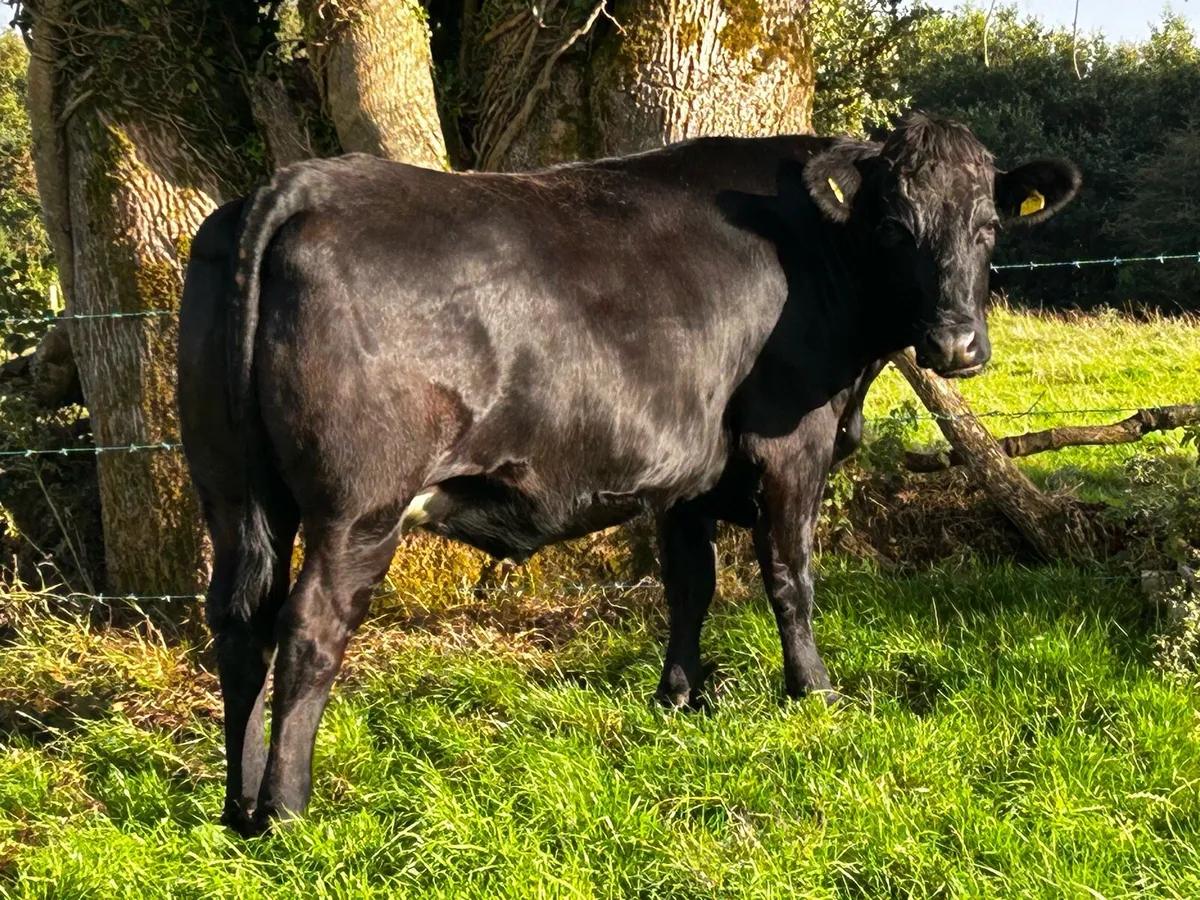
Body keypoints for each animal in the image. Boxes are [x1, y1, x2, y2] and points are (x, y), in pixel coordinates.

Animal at [178, 111, 1080, 835]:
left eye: (987, 227)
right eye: (894, 226)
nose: (956, 344)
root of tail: (301, 184)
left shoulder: (687, 467)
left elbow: (691, 581)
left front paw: (679, 697)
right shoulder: (794, 441)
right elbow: (791, 574)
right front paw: (814, 692)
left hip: (231, 490)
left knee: (240, 619)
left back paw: (237, 806)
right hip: (359, 505)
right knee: (309, 628)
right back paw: (288, 812)